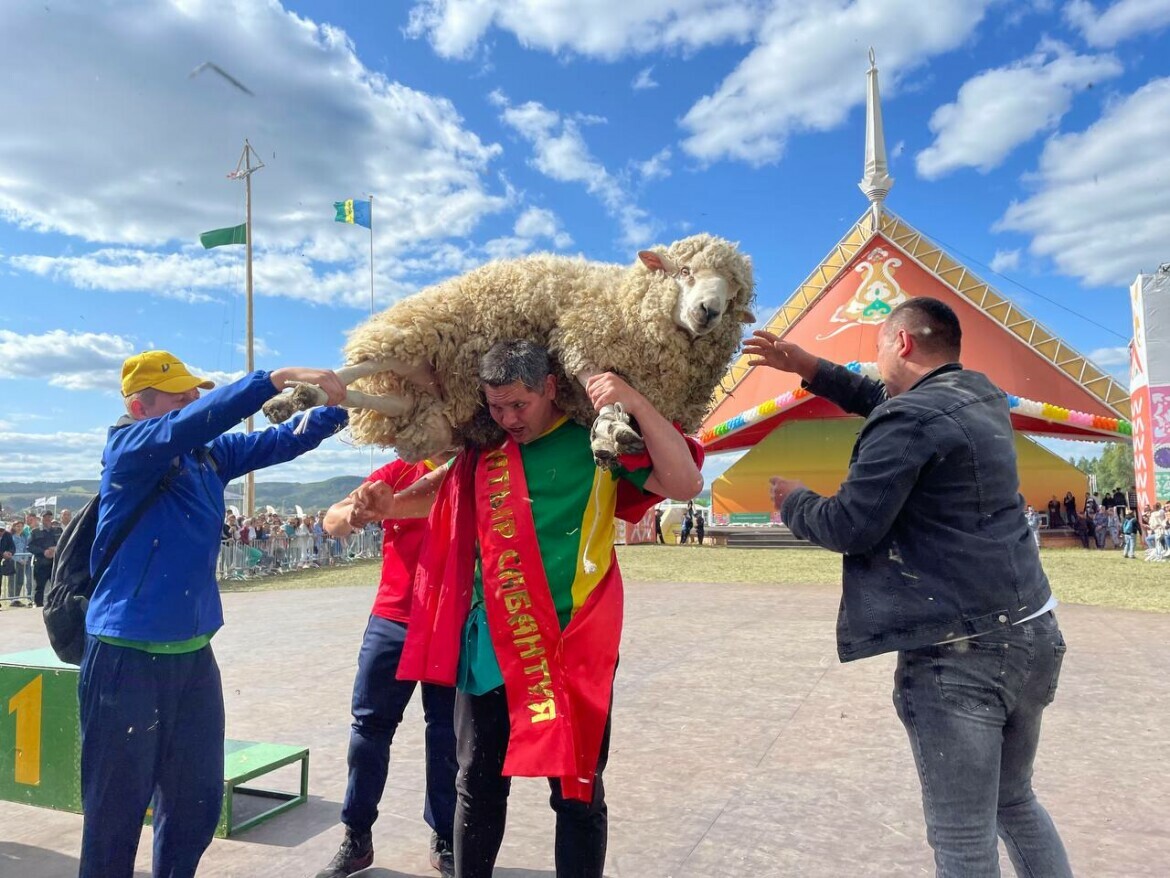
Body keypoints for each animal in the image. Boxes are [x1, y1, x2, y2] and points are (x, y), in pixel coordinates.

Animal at [263, 234, 758, 468]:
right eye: (685, 271)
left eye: (735, 293)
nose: (709, 312)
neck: (626, 300)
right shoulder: (577, 335)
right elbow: (596, 380)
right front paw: (610, 429)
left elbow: (610, 398)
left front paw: (611, 429)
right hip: (419, 335)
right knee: (361, 365)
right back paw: (295, 395)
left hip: (428, 409)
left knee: (373, 400)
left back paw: (311, 396)